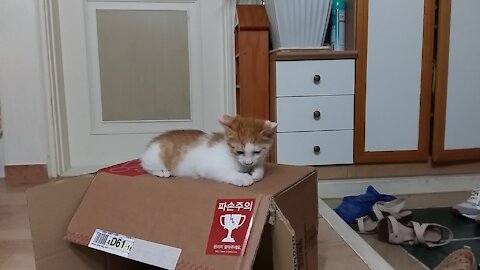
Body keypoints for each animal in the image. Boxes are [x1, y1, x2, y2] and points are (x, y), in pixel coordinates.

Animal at [139, 114, 278, 186]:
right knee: (147, 167)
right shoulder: (208, 167)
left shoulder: (259, 160)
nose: (248, 163)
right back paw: (162, 172)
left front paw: (256, 173)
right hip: (154, 158)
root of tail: (154, 140)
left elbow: (260, 169)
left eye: (257, 152)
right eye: (239, 151)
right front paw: (242, 178)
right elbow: (225, 172)